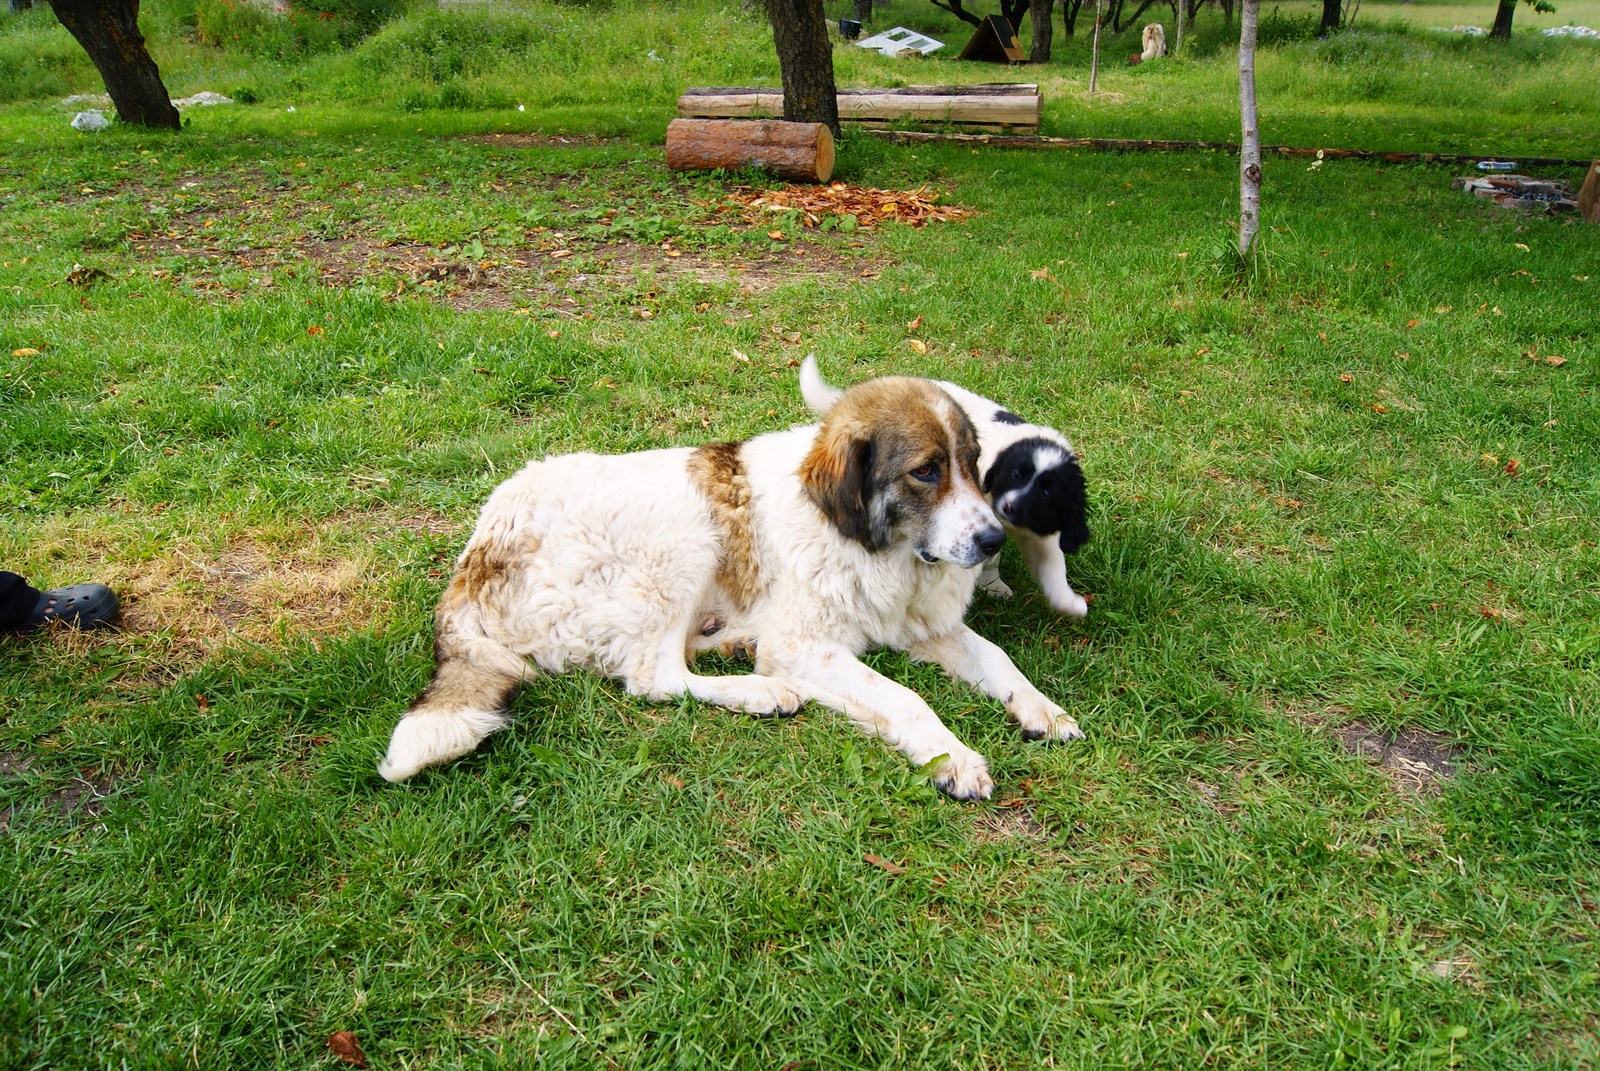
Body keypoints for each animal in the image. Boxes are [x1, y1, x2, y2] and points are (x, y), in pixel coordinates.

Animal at [796, 355, 1088, 614]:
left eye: (1047, 492)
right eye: (1016, 473)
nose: (1009, 508)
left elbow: (1051, 562)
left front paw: (1068, 602)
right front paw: (993, 583)